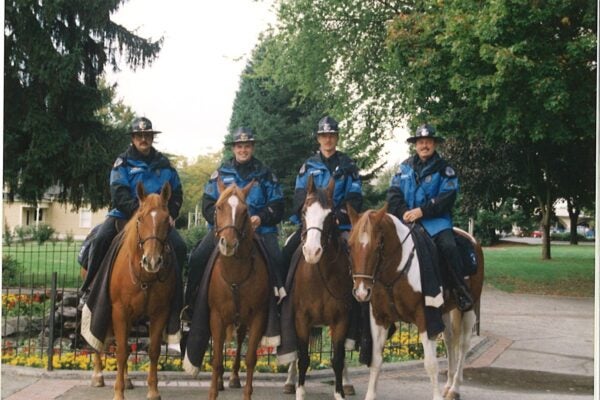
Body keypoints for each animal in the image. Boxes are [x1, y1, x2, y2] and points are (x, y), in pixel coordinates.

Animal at [288, 177, 354, 400]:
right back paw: (289, 382)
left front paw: (340, 392)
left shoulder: (341, 320)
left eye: (331, 215)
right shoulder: (301, 319)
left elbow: (338, 359)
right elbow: (303, 358)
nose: (312, 251)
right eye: (303, 212)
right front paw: (300, 391)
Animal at [346, 205, 482, 400]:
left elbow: (431, 364)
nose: (362, 291)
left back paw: (455, 388)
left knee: (463, 344)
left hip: (469, 307)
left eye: (378, 245)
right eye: (349, 246)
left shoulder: (426, 317)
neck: (396, 271)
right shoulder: (379, 318)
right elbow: (376, 360)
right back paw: (448, 384)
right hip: (444, 311)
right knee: (449, 341)